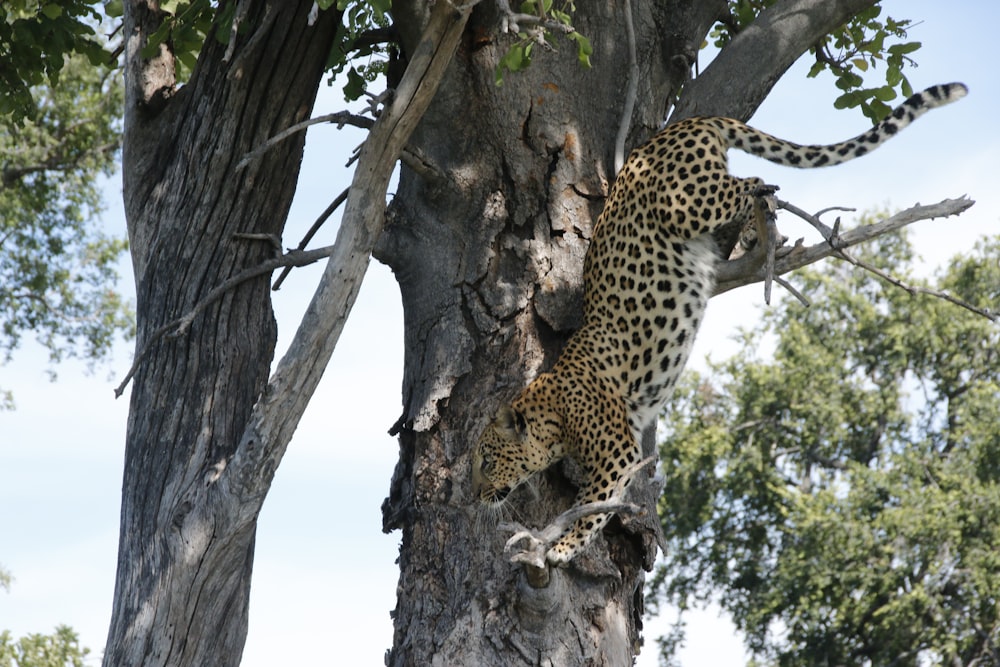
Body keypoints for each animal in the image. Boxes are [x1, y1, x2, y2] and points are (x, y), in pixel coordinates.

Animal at [476, 81, 968, 568]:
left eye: (485, 460)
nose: (479, 497)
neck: (553, 411)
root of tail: (671, 130)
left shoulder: (618, 450)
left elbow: (592, 507)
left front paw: (561, 547)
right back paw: (756, 232)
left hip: (686, 202)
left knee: (750, 183)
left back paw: (765, 203)